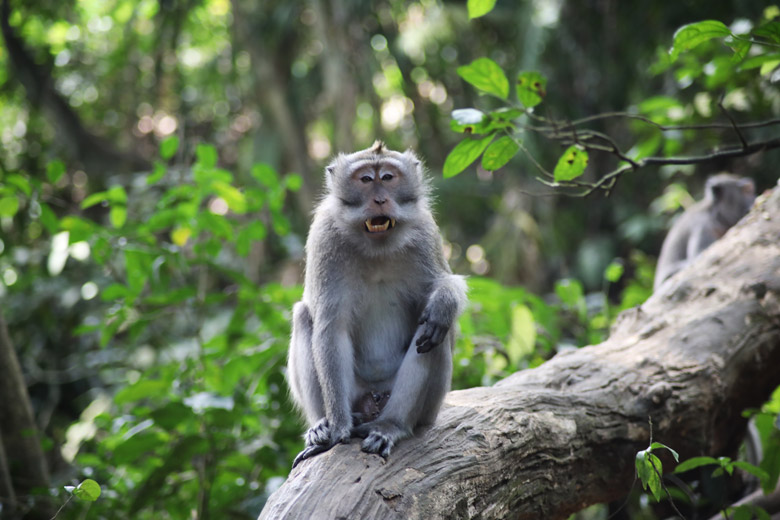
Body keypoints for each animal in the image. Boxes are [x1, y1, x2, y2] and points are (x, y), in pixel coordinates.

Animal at [288, 141, 466, 468]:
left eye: (388, 177)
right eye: (366, 179)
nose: (381, 199)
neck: (378, 245)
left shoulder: (426, 231)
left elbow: (447, 283)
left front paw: (444, 301)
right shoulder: (325, 236)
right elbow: (331, 329)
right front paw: (339, 427)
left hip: (427, 408)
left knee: (434, 333)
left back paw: (391, 426)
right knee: (305, 315)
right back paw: (323, 425)